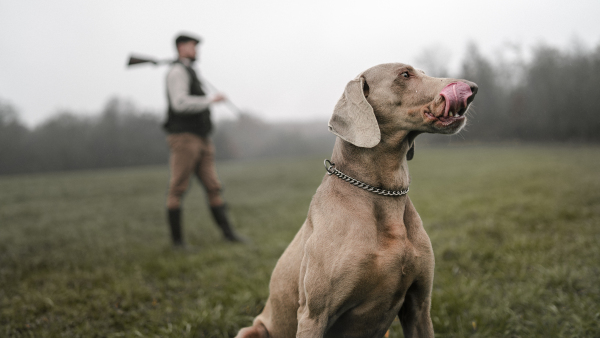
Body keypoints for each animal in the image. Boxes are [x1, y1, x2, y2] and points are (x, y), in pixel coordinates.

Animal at [237, 63, 476, 338]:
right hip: (252, 330)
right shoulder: (313, 315)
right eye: (405, 74)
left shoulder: (419, 307)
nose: (473, 88)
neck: (383, 194)